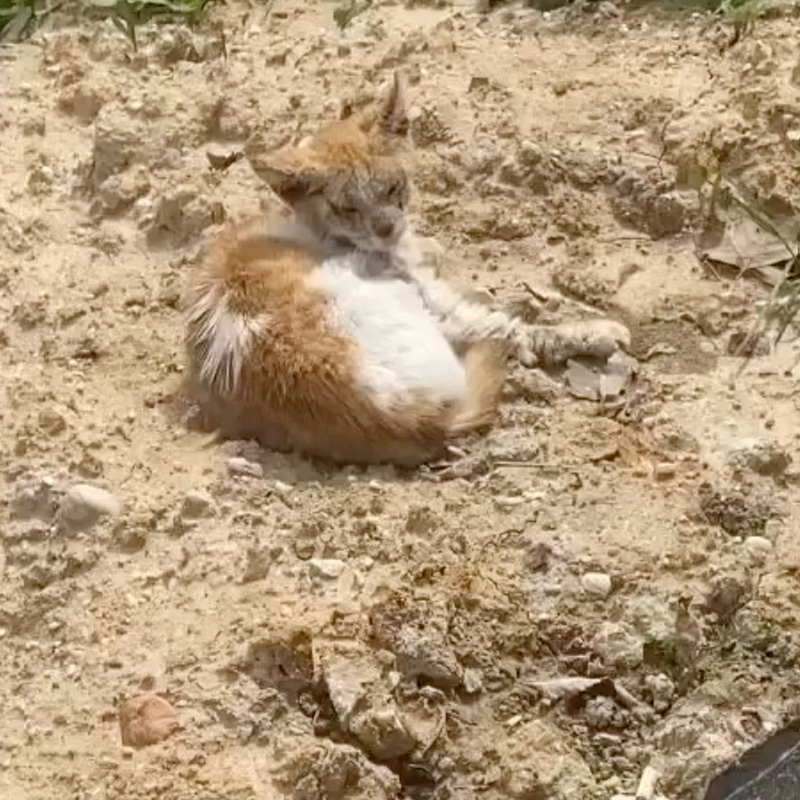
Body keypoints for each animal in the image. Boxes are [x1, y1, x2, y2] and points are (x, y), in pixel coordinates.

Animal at [183, 74, 632, 466]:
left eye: (392, 187)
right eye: (347, 208)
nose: (386, 227)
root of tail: (401, 417)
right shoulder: (431, 298)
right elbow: (515, 326)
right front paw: (595, 333)